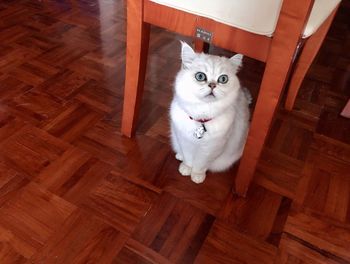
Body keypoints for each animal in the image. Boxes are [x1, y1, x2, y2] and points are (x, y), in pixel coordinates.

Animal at [169, 42, 249, 185]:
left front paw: (197, 176)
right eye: (200, 76)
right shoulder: (185, 140)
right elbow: (189, 158)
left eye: (223, 79)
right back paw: (179, 156)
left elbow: (200, 164)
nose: (212, 85)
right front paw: (186, 169)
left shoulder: (211, 148)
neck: (202, 116)